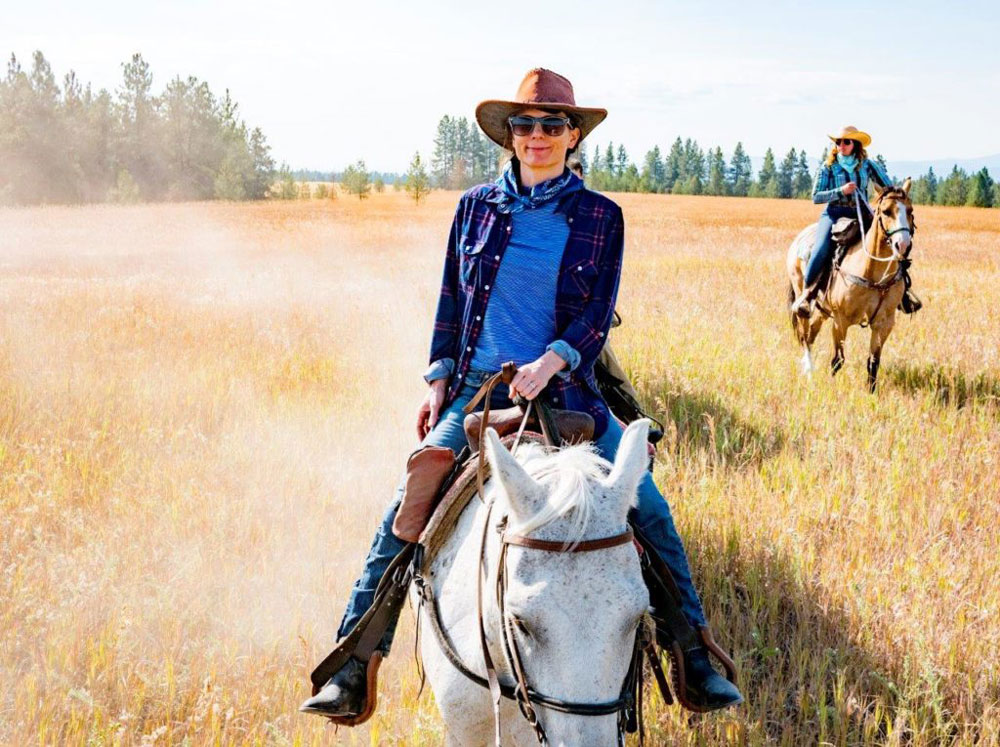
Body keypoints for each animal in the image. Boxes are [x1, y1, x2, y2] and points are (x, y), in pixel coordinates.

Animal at [784, 180, 916, 392]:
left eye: (910, 210)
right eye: (886, 211)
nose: (903, 245)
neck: (872, 273)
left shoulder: (885, 323)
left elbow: (873, 363)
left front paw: (871, 394)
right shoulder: (841, 320)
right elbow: (838, 360)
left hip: (823, 309)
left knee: (811, 334)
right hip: (802, 299)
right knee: (805, 336)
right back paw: (809, 371)